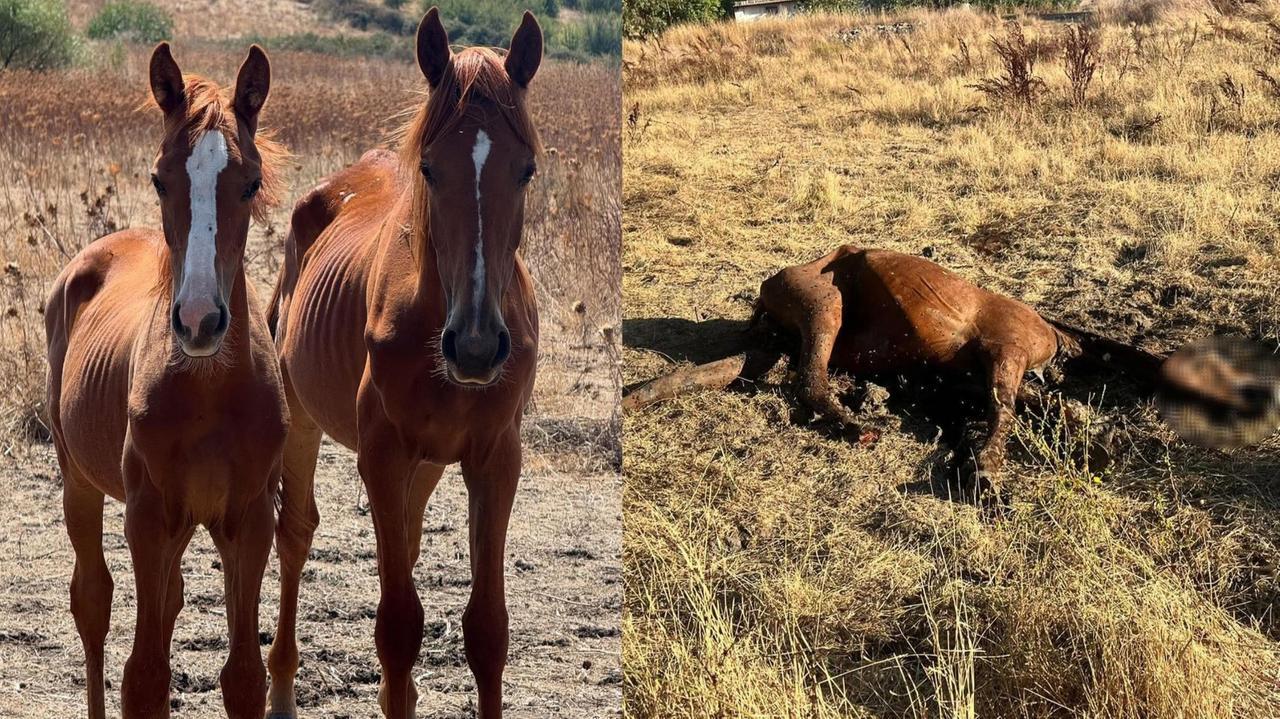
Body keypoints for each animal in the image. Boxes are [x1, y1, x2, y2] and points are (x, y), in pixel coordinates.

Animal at [44, 44, 288, 718]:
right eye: (159, 179)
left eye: (250, 182)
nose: (199, 319)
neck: (208, 389)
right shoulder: (148, 517)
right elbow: (145, 677)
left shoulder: (250, 519)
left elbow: (243, 677)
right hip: (79, 480)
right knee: (92, 600)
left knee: (169, 596)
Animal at [264, 9, 543, 718]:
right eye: (431, 169)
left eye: (526, 170)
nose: (476, 346)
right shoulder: (383, 454)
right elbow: (395, 625)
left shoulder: (495, 456)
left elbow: (487, 629)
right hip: (302, 419)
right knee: (295, 534)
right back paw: (280, 688)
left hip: (429, 462)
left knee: (407, 544)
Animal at [624, 245, 1198, 490]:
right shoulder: (1002, 352)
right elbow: (1006, 412)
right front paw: (986, 471)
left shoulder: (974, 374)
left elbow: (1031, 405)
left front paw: (1093, 441)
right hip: (822, 305)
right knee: (808, 381)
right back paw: (858, 428)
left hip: (773, 344)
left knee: (707, 375)